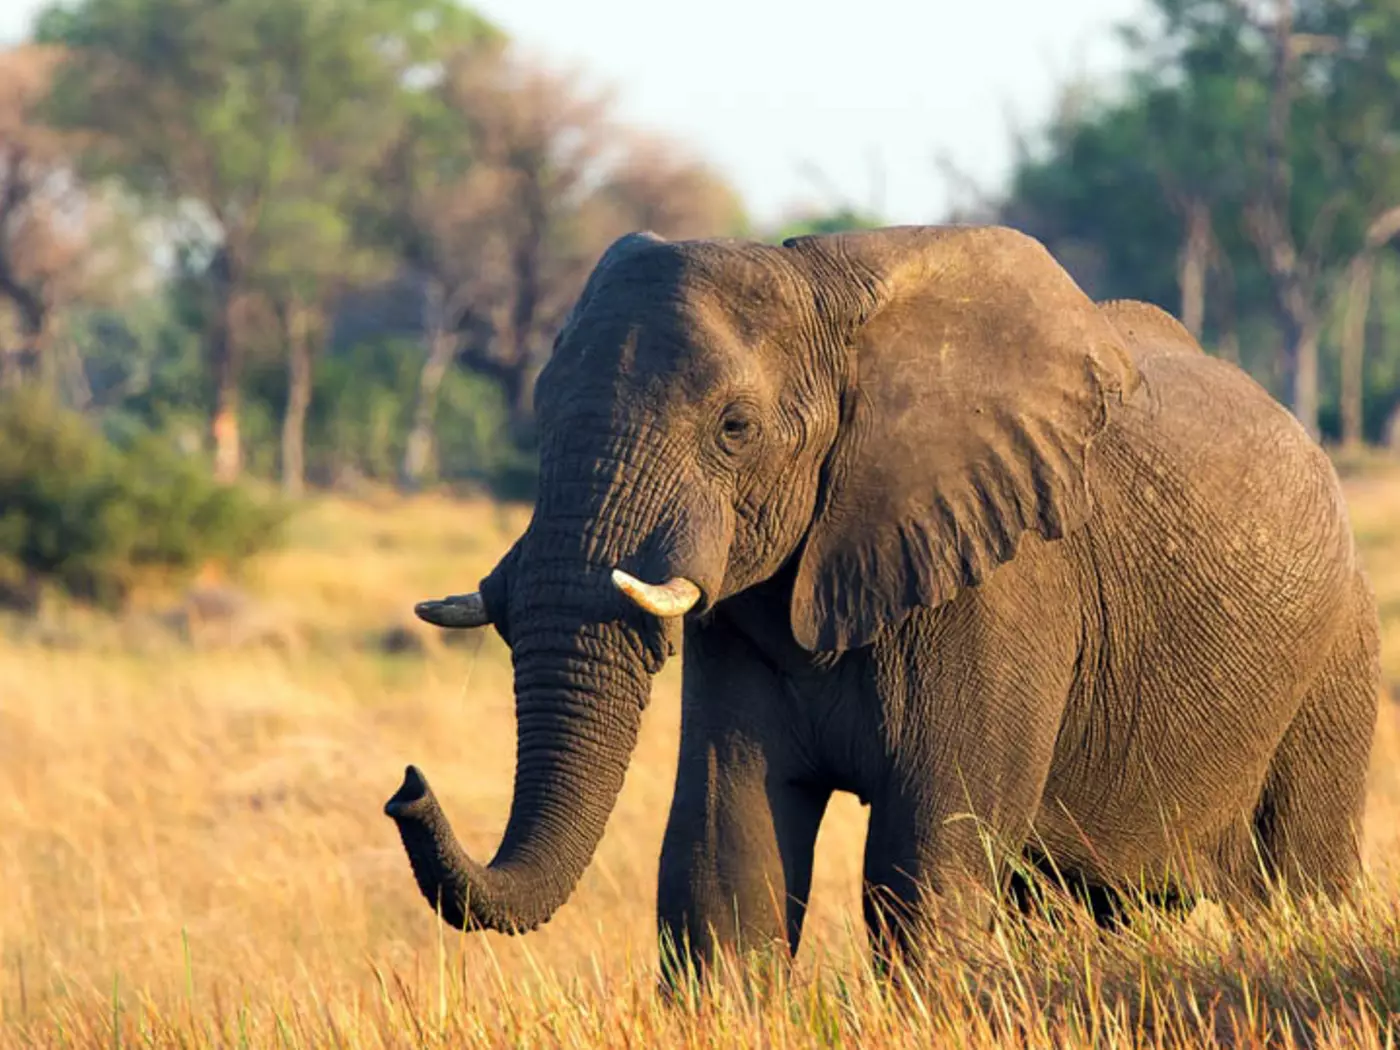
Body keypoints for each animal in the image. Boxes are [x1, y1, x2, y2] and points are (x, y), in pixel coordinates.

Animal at [383, 224, 1382, 979]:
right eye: (541, 412)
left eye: (734, 428)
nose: (405, 785)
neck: (824, 290)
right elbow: (725, 859)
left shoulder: (1008, 587)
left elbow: (925, 866)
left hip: (1338, 660)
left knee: (1297, 884)